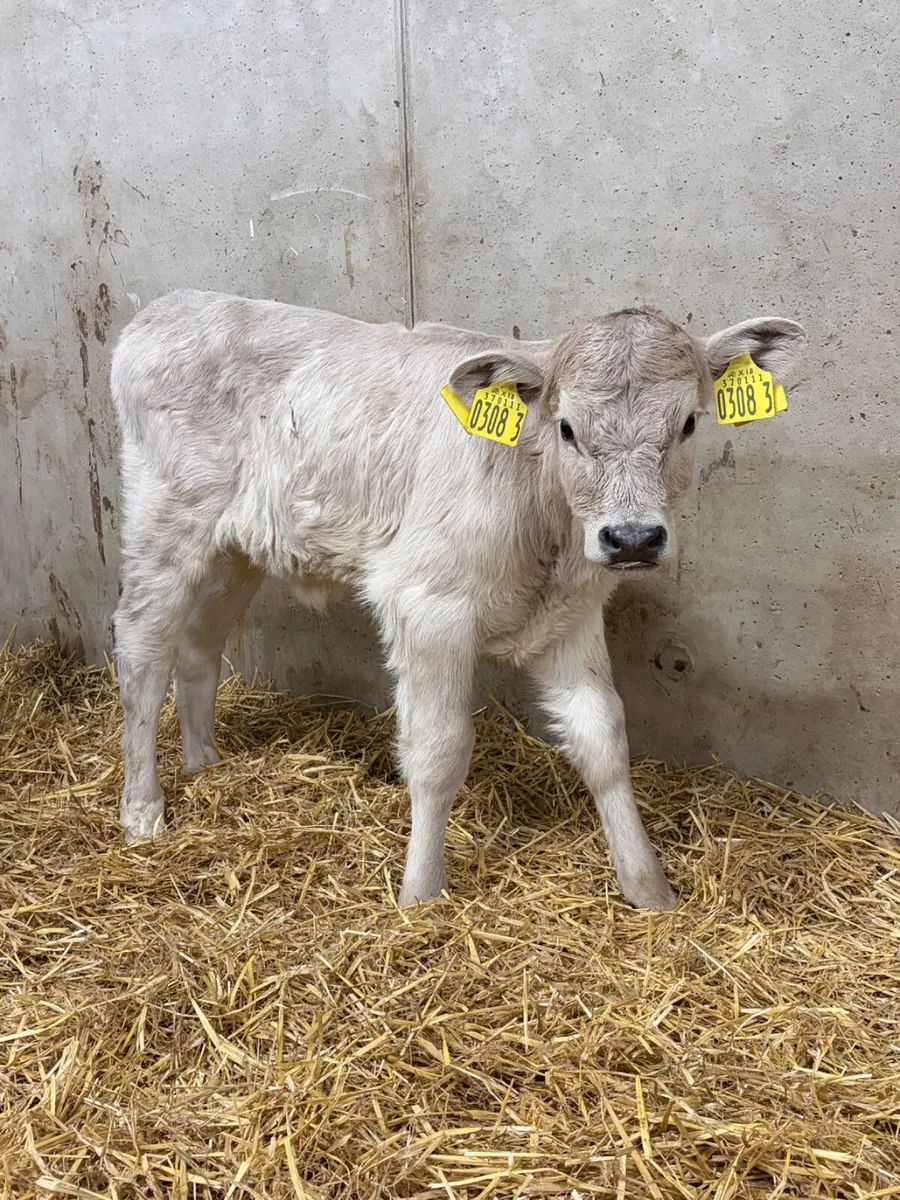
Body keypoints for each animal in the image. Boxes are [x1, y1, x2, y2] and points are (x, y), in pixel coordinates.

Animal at [110, 290, 806, 910]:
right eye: (567, 428)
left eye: (688, 423)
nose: (632, 537)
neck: (544, 526)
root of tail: (168, 307)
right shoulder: (426, 606)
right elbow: (439, 750)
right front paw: (421, 895)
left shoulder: (574, 617)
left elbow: (603, 738)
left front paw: (649, 889)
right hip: (164, 521)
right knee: (142, 648)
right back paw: (143, 810)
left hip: (239, 548)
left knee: (198, 645)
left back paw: (204, 765)